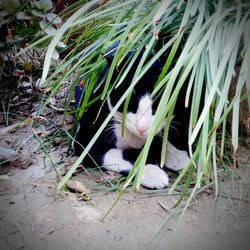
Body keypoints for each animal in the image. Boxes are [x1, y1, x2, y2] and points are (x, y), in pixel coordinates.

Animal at [72, 42, 189, 188]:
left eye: (160, 105)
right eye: (130, 103)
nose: (142, 128)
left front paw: (176, 155)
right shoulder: (83, 139)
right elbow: (123, 155)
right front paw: (152, 172)